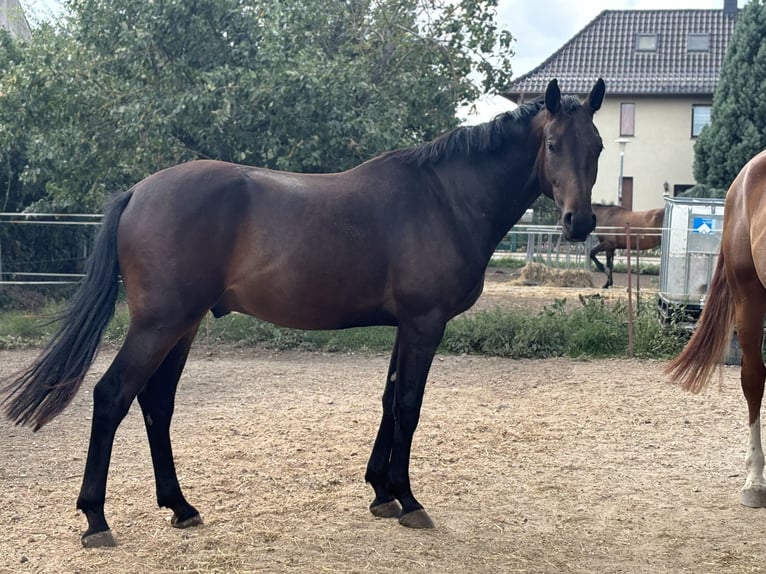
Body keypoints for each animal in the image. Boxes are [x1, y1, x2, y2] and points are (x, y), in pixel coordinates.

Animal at [4, 77, 608, 548]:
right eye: (553, 143)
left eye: (598, 146)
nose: (579, 223)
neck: (444, 198)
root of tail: (138, 192)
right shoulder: (424, 324)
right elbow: (408, 406)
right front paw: (408, 499)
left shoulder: (405, 327)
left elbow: (388, 401)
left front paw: (381, 492)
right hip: (159, 325)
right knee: (112, 397)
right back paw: (96, 520)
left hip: (183, 326)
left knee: (157, 404)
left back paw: (181, 506)